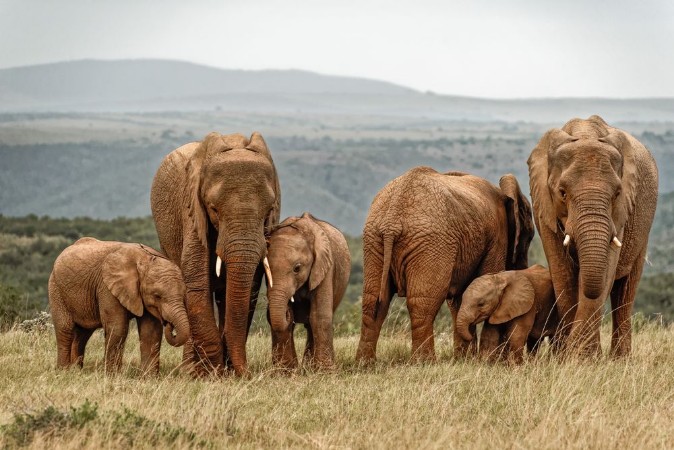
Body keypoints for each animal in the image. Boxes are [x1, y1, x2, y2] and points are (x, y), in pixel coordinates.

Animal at [48, 238, 190, 374]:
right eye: (157, 296)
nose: (168, 323)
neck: (144, 259)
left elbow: (151, 332)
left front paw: (149, 378)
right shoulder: (106, 286)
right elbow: (118, 328)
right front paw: (112, 376)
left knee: (83, 333)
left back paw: (76, 371)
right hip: (56, 289)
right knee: (65, 329)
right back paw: (64, 371)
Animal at [151, 132, 280, 376]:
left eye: (269, 210)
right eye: (213, 209)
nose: (247, 374)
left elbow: (251, 284)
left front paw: (223, 371)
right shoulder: (192, 209)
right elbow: (196, 278)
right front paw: (210, 373)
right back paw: (190, 370)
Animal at [265, 213, 351, 370]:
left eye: (297, 268)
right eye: (264, 269)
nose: (287, 310)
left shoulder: (325, 268)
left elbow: (319, 316)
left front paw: (325, 372)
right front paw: (284, 372)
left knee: (312, 322)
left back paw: (310, 368)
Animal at [356, 167, 534, 364]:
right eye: (530, 237)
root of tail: (391, 223)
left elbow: (461, 298)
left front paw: (465, 360)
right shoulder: (496, 239)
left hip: (373, 241)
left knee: (373, 301)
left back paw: (365, 364)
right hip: (431, 243)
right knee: (423, 302)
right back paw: (424, 363)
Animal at [528, 115, 658, 357]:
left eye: (617, 194)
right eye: (562, 193)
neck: (585, 133)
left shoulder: (620, 213)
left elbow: (606, 269)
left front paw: (581, 358)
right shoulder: (543, 207)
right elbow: (563, 274)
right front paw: (566, 356)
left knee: (625, 292)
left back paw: (620, 360)